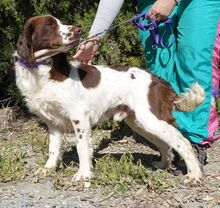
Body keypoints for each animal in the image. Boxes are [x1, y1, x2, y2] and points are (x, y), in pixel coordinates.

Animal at [14, 15, 205, 184]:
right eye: (50, 25)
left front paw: (84, 175)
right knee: (165, 145)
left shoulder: (79, 116)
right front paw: (48, 168)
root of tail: (159, 81)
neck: (43, 71)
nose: (78, 30)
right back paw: (163, 165)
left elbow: (82, 147)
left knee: (183, 142)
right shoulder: (52, 122)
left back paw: (194, 175)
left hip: (150, 119)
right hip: (139, 122)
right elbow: (53, 148)